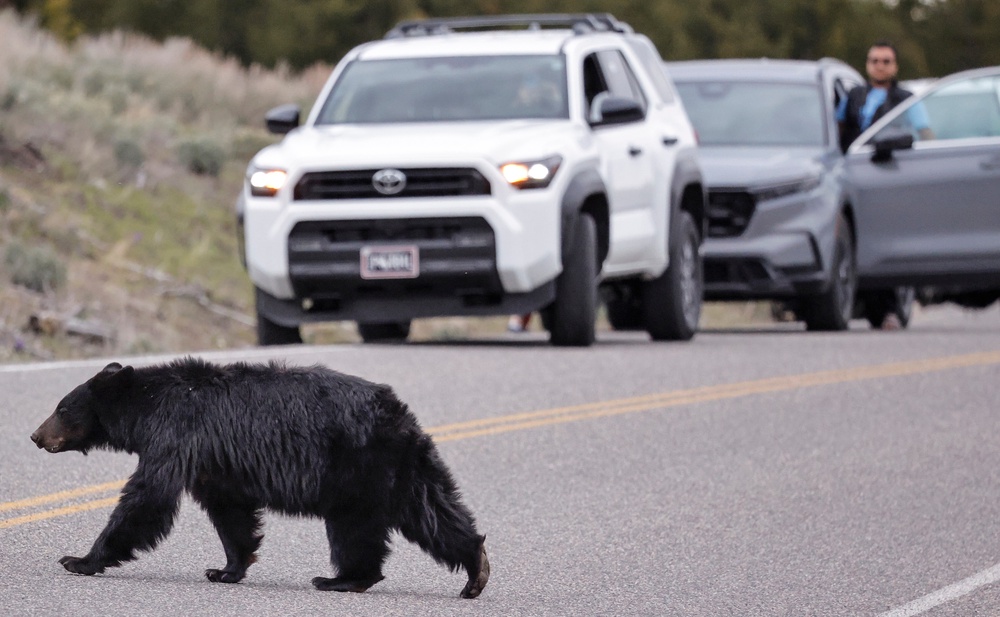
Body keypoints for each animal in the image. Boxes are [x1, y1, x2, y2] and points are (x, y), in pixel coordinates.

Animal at [29, 357, 489, 599]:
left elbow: (147, 499)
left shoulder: (176, 433)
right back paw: (476, 569)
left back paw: (339, 579)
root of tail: (397, 411)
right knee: (433, 511)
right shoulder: (214, 464)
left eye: (62, 408)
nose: (35, 436)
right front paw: (226, 569)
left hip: (356, 467)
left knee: (356, 528)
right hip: (403, 467)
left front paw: (80, 559)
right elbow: (230, 513)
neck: (147, 404)